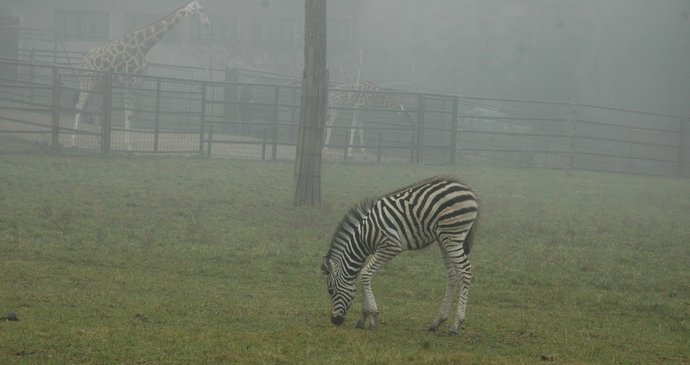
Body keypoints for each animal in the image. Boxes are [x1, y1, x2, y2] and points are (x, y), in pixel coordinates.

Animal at [71, 0, 210, 148]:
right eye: (200, 9)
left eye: (205, 8)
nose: (208, 23)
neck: (144, 45)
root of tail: (83, 58)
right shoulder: (129, 81)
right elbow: (127, 113)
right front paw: (128, 145)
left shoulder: (137, 81)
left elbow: (131, 113)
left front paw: (128, 144)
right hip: (87, 80)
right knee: (79, 105)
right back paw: (73, 140)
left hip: (99, 83)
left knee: (97, 108)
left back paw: (99, 141)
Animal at [322, 175, 478, 334]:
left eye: (330, 291)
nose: (334, 320)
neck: (364, 237)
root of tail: (468, 190)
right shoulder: (378, 250)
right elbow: (364, 275)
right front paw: (363, 318)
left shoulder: (390, 246)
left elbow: (365, 274)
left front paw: (372, 318)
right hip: (444, 239)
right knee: (452, 275)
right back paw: (437, 322)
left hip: (452, 234)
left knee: (465, 270)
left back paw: (456, 325)